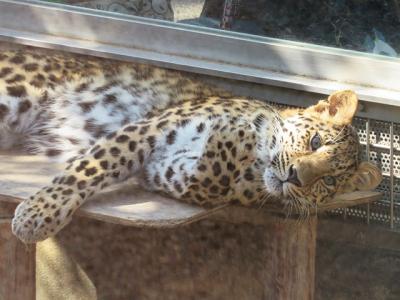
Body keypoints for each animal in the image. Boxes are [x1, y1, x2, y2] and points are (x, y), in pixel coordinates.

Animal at [0, 47, 382, 244]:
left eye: (328, 181)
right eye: (315, 142)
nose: (295, 177)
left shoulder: (169, 174)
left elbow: (214, 172)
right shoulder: (149, 128)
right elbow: (90, 169)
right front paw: (38, 213)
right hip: (14, 95)